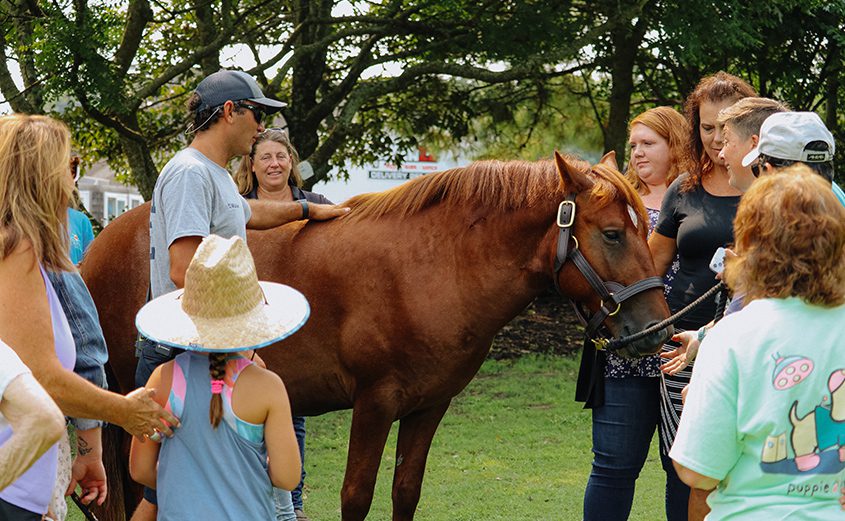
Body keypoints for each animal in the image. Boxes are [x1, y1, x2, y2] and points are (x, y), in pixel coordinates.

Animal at [81, 149, 672, 516]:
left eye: (643, 228)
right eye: (614, 234)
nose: (656, 328)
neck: (430, 266)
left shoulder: (428, 407)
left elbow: (405, 491)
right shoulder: (374, 403)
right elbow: (356, 494)